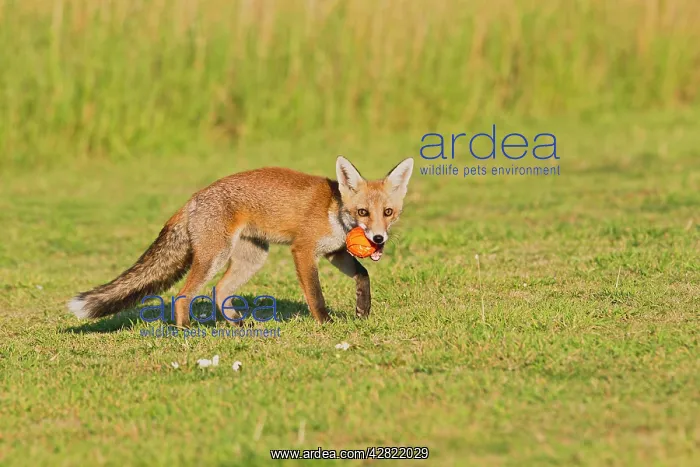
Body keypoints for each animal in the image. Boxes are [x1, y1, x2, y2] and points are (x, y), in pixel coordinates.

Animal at [67, 156, 414, 327]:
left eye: (388, 212)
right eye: (362, 212)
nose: (378, 238)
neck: (334, 211)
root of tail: (194, 198)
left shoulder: (335, 252)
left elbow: (363, 274)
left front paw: (362, 310)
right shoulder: (303, 250)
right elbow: (315, 295)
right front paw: (326, 323)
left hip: (252, 258)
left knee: (219, 291)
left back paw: (236, 324)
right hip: (216, 256)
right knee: (183, 294)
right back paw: (184, 330)